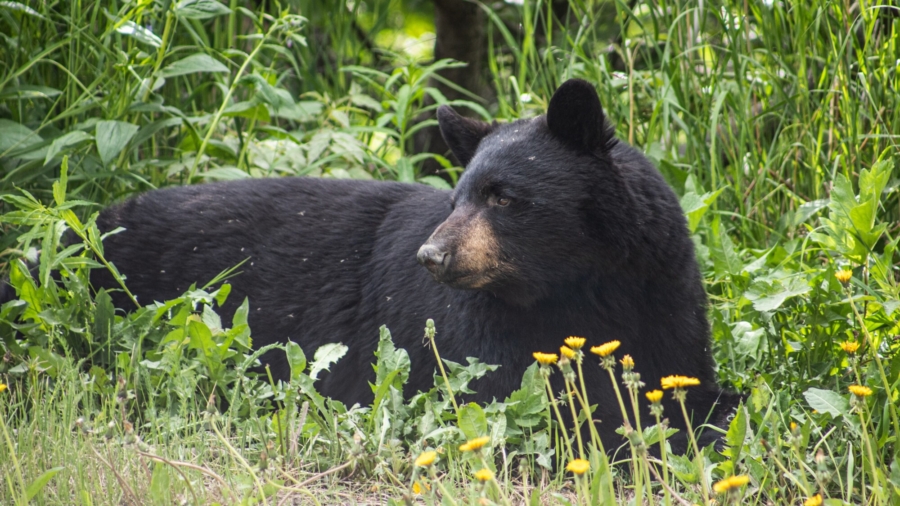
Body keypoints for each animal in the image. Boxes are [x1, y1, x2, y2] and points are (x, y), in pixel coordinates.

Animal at [14, 78, 736, 450]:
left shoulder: (663, 293)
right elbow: (518, 401)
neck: (578, 289)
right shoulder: (471, 336)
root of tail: (70, 236)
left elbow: (682, 382)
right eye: (458, 195)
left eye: (504, 196)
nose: (432, 256)